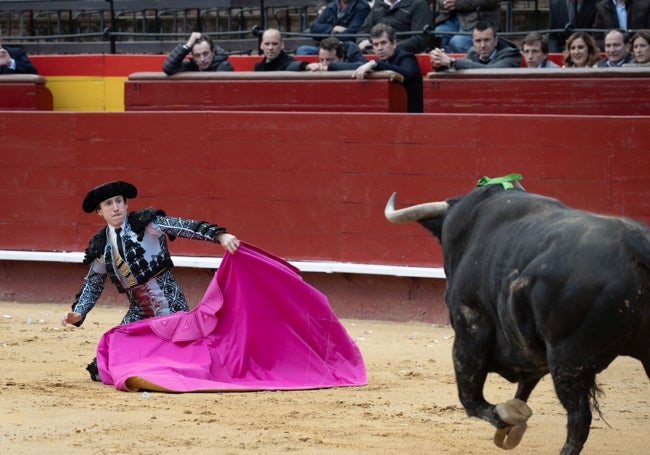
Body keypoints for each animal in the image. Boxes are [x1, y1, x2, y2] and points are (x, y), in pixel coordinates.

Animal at [382, 173, 644, 454]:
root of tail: (635, 247)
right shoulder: (529, 350)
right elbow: (522, 388)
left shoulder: (470, 331)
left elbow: (470, 399)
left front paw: (507, 419)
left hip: (569, 360)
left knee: (578, 418)